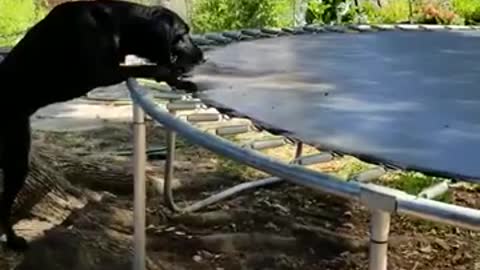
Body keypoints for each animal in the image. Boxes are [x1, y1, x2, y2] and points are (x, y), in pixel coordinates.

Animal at [0, 0, 204, 251]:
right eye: (183, 34)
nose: (202, 56)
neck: (117, 24)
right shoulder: (103, 71)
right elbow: (148, 68)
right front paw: (173, 73)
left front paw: (182, 82)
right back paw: (12, 239)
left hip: (15, 153)